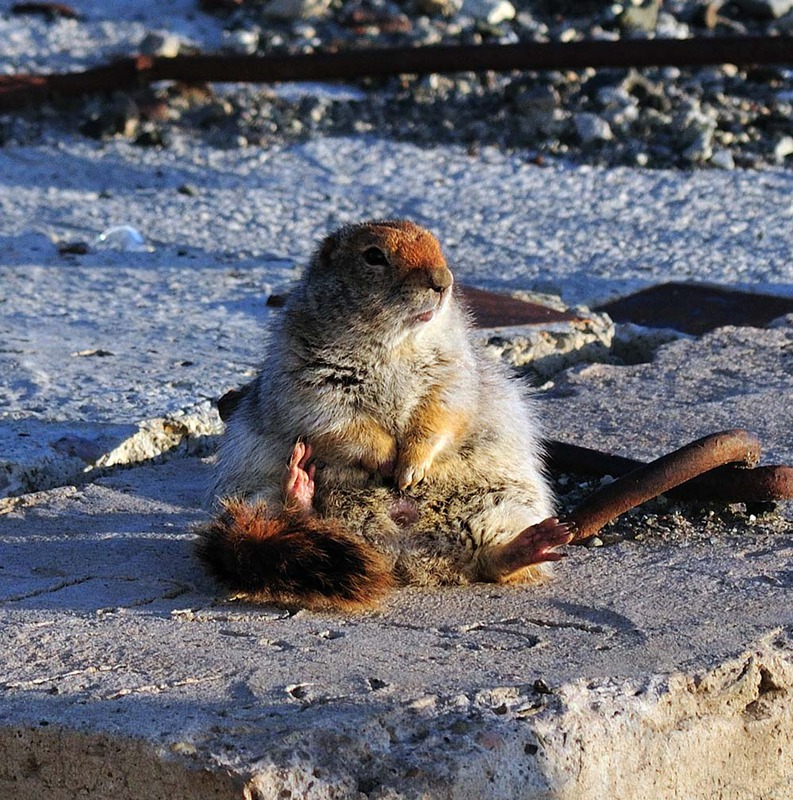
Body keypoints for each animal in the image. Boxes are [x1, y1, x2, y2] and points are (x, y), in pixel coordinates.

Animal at [197, 217, 568, 608]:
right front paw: (389, 460)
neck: (394, 346)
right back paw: (299, 485)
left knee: (490, 563)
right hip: (257, 500)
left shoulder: (452, 369)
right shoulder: (310, 378)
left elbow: (442, 411)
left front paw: (411, 468)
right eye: (374, 256)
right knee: (295, 517)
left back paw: (534, 543)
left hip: (502, 509)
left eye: (438, 245)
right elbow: (339, 419)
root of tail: (402, 555)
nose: (443, 281)